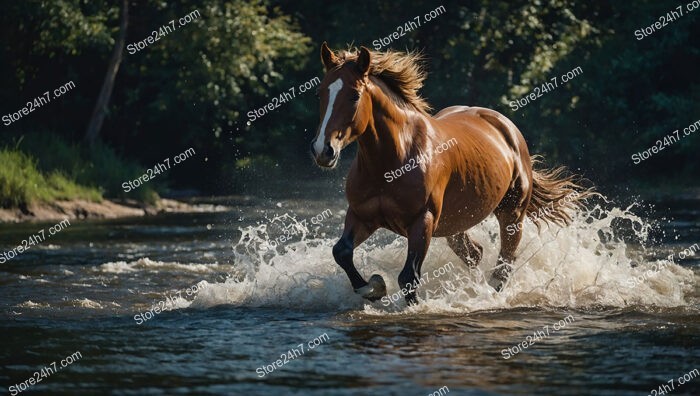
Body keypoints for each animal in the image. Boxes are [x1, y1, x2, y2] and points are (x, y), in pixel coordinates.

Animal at [310, 42, 584, 304]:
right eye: (320, 92)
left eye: (354, 95)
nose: (323, 150)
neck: (391, 164)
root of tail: (508, 128)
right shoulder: (361, 216)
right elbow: (341, 252)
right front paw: (374, 287)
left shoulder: (422, 220)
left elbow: (409, 277)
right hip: (455, 223)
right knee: (475, 254)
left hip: (511, 213)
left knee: (504, 264)